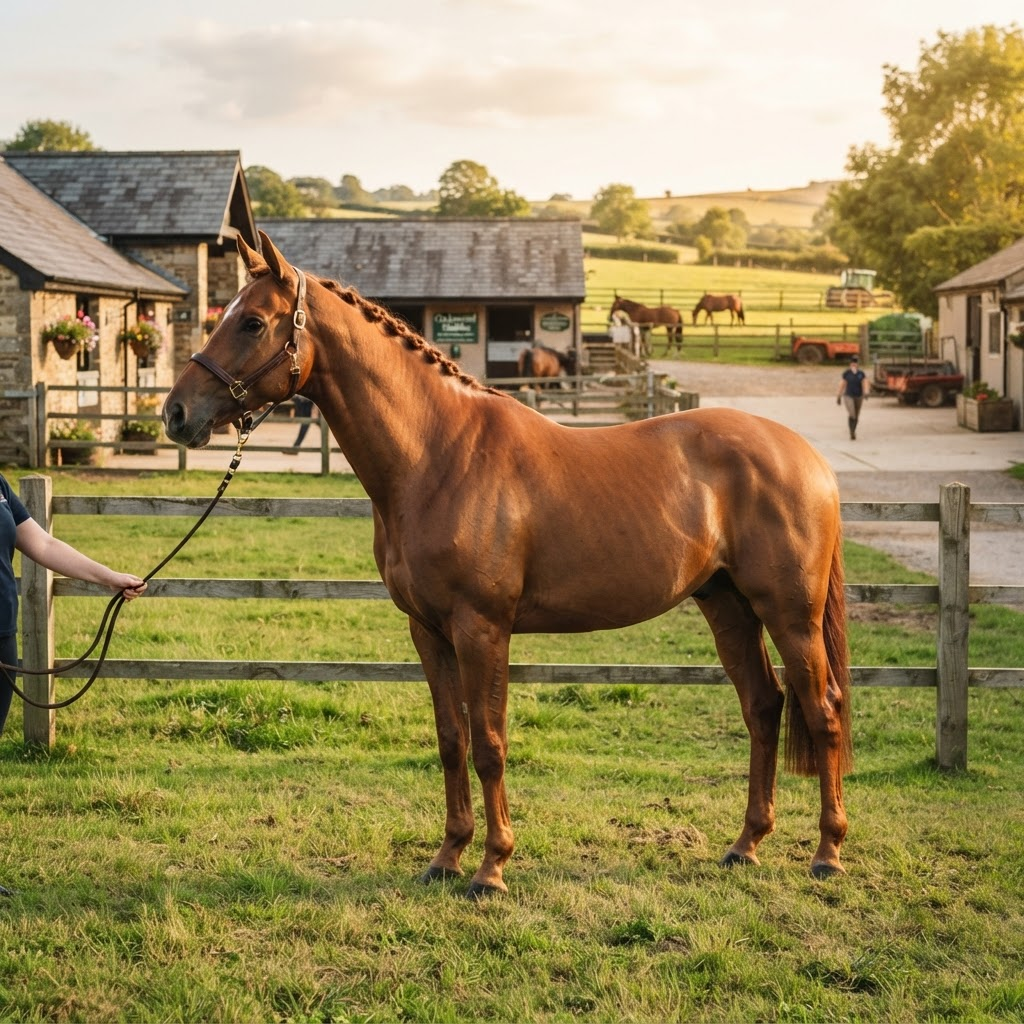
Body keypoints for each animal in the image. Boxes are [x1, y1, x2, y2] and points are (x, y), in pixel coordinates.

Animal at [164, 231, 853, 897]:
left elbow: (490, 745)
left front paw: (491, 869)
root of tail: (807, 457)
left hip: (790, 616)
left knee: (823, 713)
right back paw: (746, 845)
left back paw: (827, 854)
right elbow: (452, 741)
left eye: (252, 322)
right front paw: (447, 858)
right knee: (763, 707)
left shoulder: (482, 629)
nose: (175, 413)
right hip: (728, 606)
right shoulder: (428, 631)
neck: (437, 454)